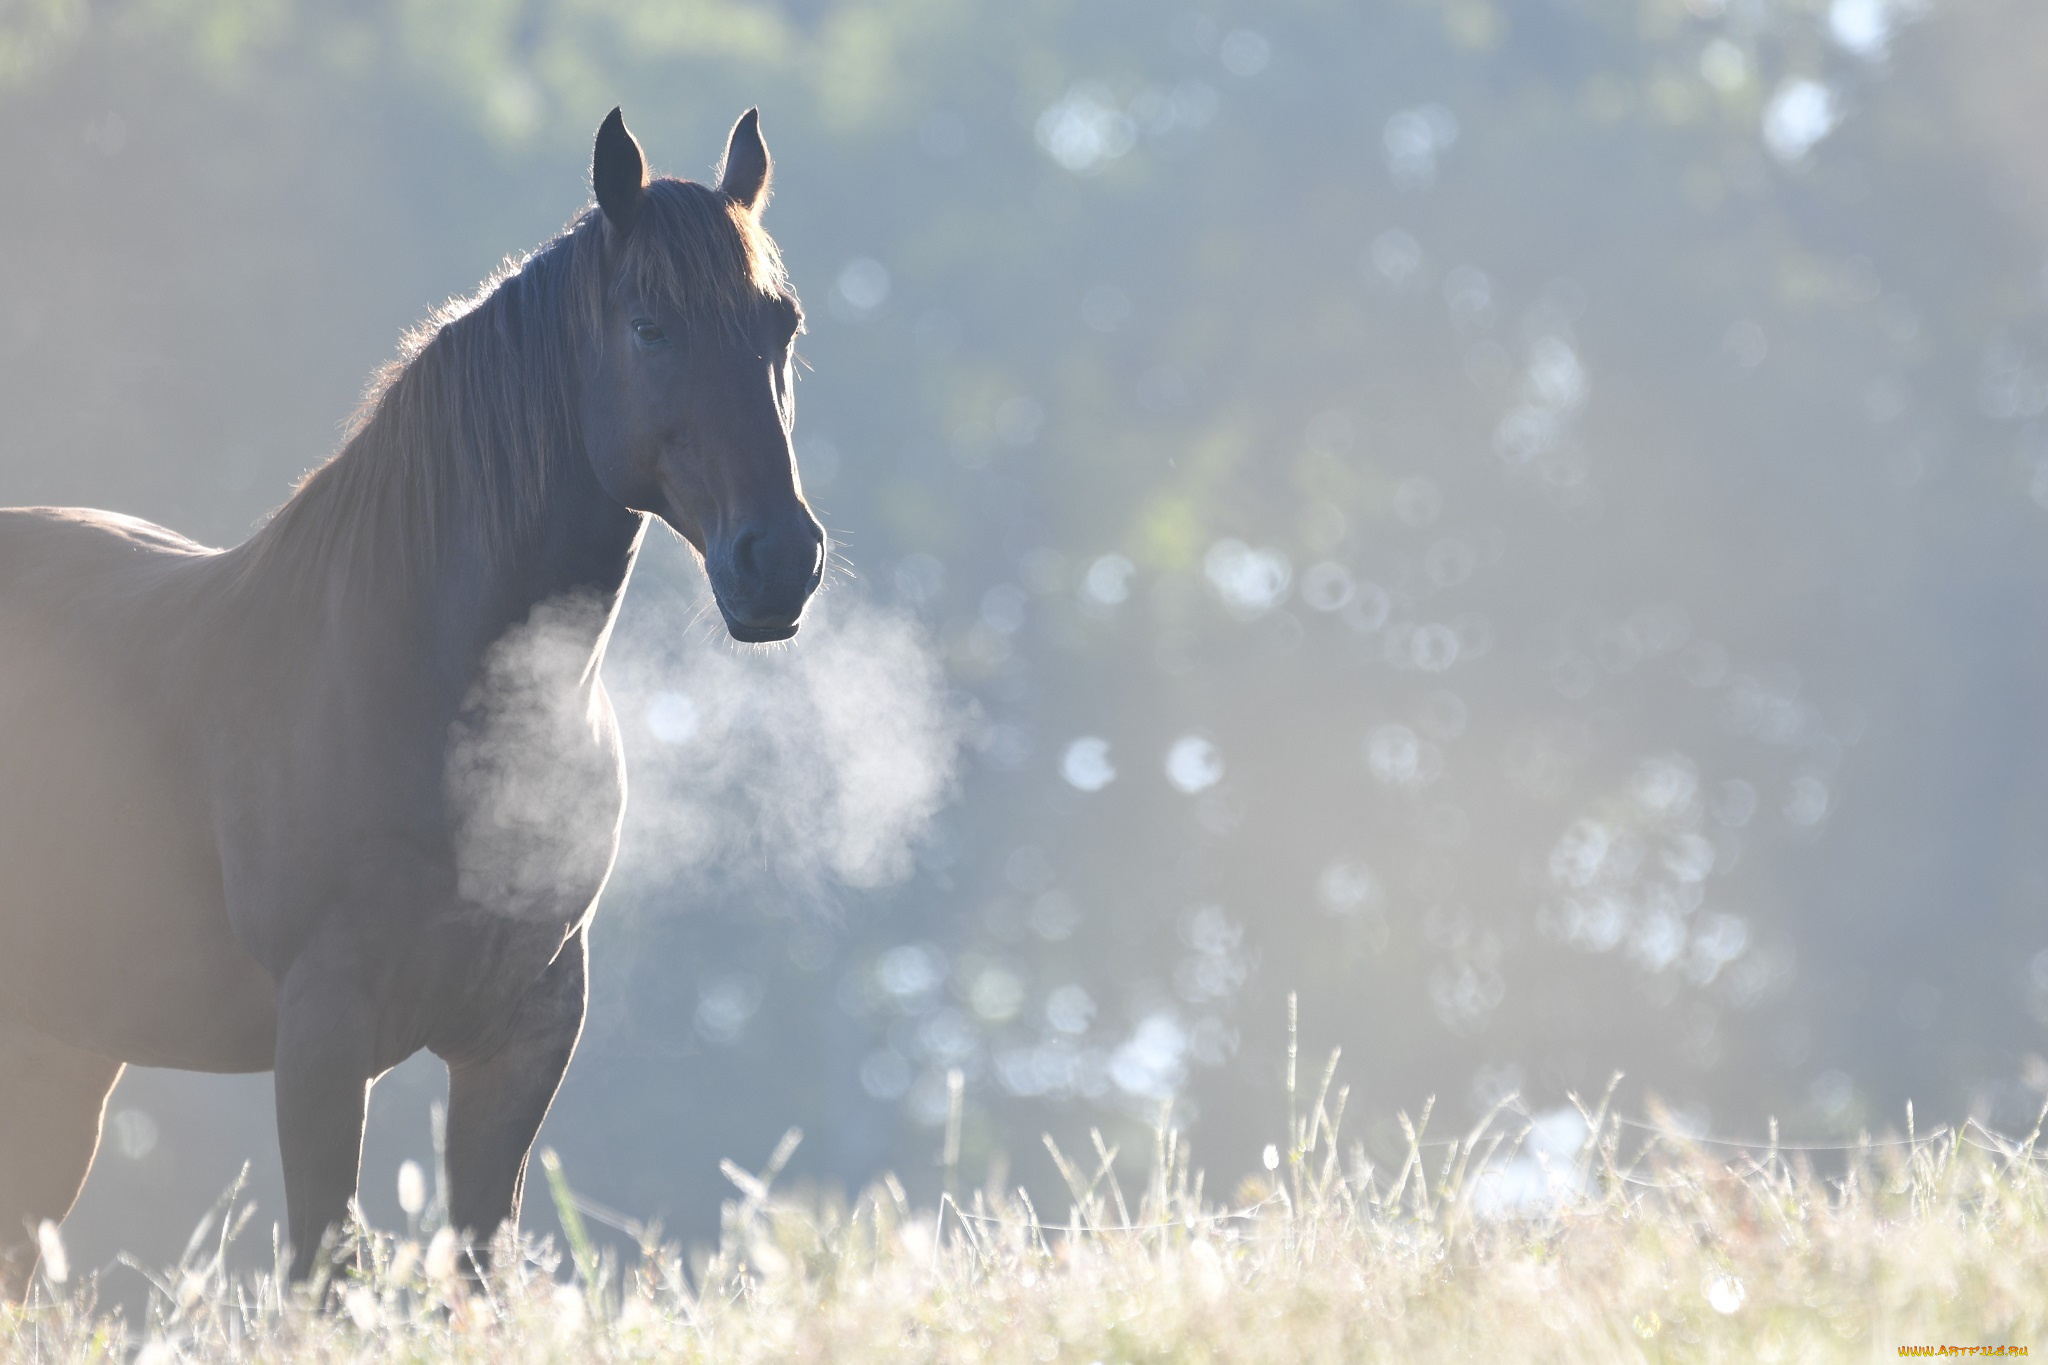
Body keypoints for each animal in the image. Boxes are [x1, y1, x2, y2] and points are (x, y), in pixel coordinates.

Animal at [0, 106, 823, 1293]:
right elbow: (325, 1264)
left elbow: (478, 1262)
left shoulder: (524, 1033)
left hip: (64, 1047)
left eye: (781, 326)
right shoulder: (323, 1030)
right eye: (649, 327)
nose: (779, 563)